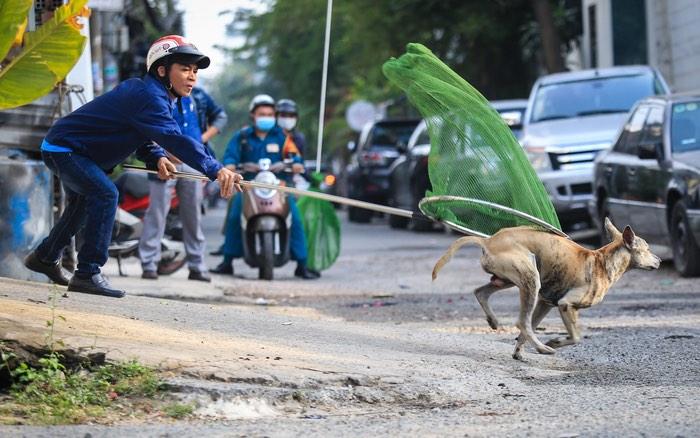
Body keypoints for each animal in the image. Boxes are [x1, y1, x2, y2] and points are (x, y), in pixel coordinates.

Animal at [432, 219, 660, 360]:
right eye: (647, 248)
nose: (659, 260)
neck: (602, 262)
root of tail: (488, 240)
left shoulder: (546, 303)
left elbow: (528, 330)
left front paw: (518, 352)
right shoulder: (566, 305)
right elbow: (575, 337)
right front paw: (555, 341)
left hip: (509, 281)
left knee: (483, 294)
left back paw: (494, 321)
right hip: (530, 278)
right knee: (521, 322)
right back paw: (543, 347)